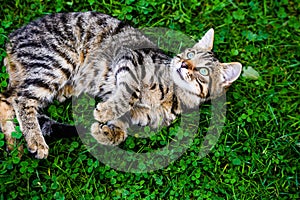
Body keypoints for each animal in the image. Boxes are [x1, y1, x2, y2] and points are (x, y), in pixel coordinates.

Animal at [0, 11, 241, 159]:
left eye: (203, 71)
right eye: (189, 55)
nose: (183, 63)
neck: (172, 94)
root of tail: (13, 38)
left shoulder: (139, 118)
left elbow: (121, 133)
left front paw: (103, 131)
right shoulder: (130, 60)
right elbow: (129, 93)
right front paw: (105, 111)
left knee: (7, 98)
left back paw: (15, 143)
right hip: (55, 63)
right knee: (21, 100)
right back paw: (35, 141)